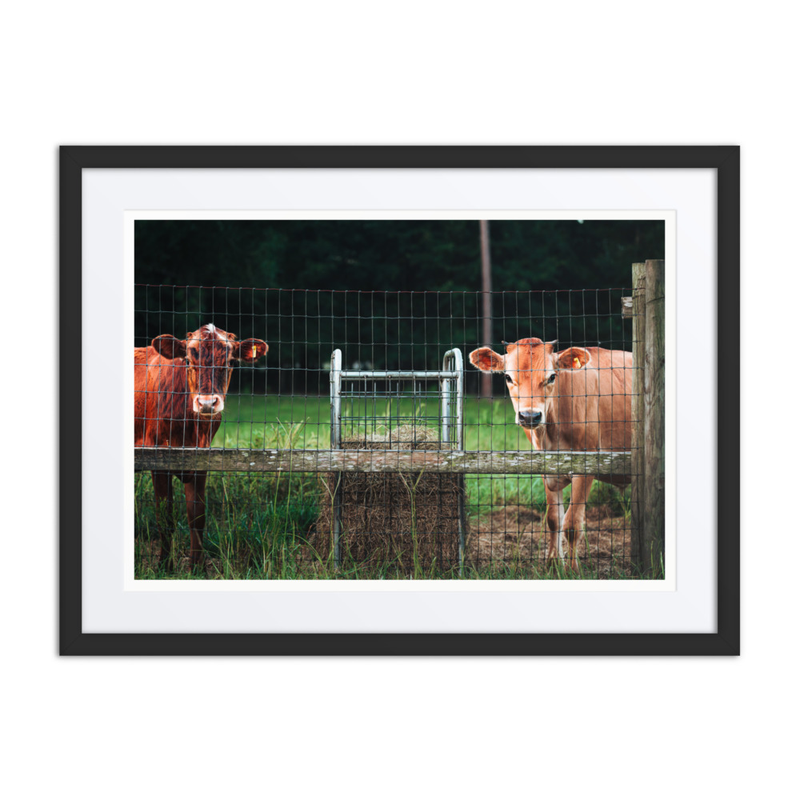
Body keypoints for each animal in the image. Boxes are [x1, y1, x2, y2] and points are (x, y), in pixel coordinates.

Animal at [134, 323, 268, 570]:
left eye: (231, 362)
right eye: (187, 360)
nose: (207, 403)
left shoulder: (201, 460)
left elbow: (196, 514)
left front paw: (197, 566)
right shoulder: (157, 459)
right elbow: (165, 516)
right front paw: (165, 566)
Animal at [469, 338, 632, 572]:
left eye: (552, 376)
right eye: (508, 377)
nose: (530, 416)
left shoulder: (586, 465)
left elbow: (572, 524)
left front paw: (573, 571)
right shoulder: (546, 468)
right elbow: (554, 519)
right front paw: (554, 565)